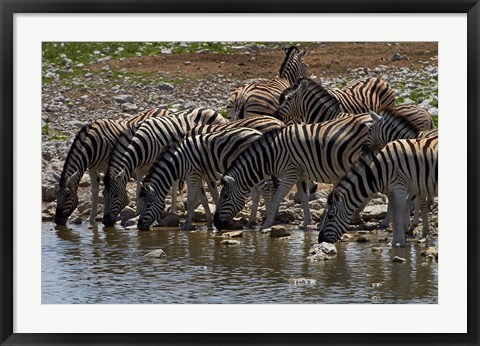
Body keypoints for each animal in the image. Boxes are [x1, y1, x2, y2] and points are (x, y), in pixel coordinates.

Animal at [214, 113, 376, 231]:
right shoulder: (300, 175)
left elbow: (277, 197)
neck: (272, 154)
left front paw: (267, 223)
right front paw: (306, 222)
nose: (216, 224)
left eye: (225, 196)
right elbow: (304, 197)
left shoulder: (289, 173)